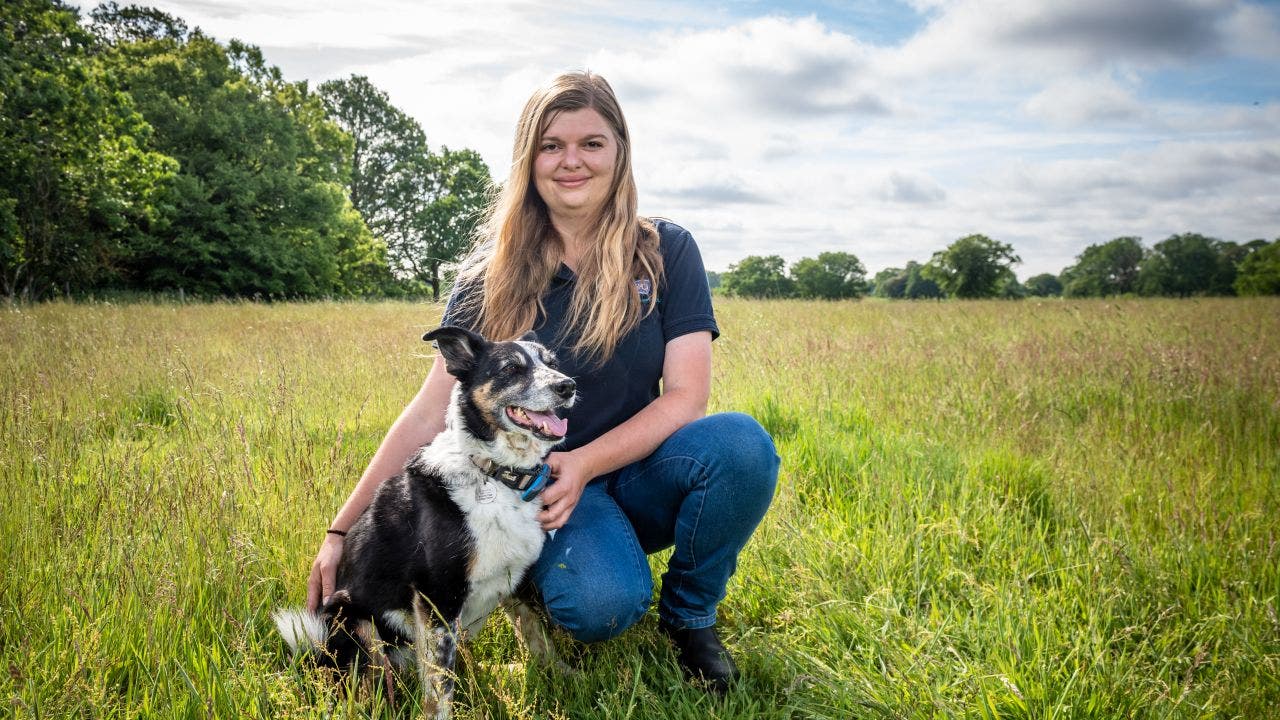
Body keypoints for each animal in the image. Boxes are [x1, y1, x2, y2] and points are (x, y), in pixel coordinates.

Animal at [273, 326, 576, 717]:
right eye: (511, 368)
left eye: (552, 364)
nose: (567, 386)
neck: (494, 474)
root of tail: (317, 658)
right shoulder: (437, 597)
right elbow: (439, 686)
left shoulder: (518, 578)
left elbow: (538, 635)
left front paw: (565, 675)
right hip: (353, 622)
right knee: (367, 688)